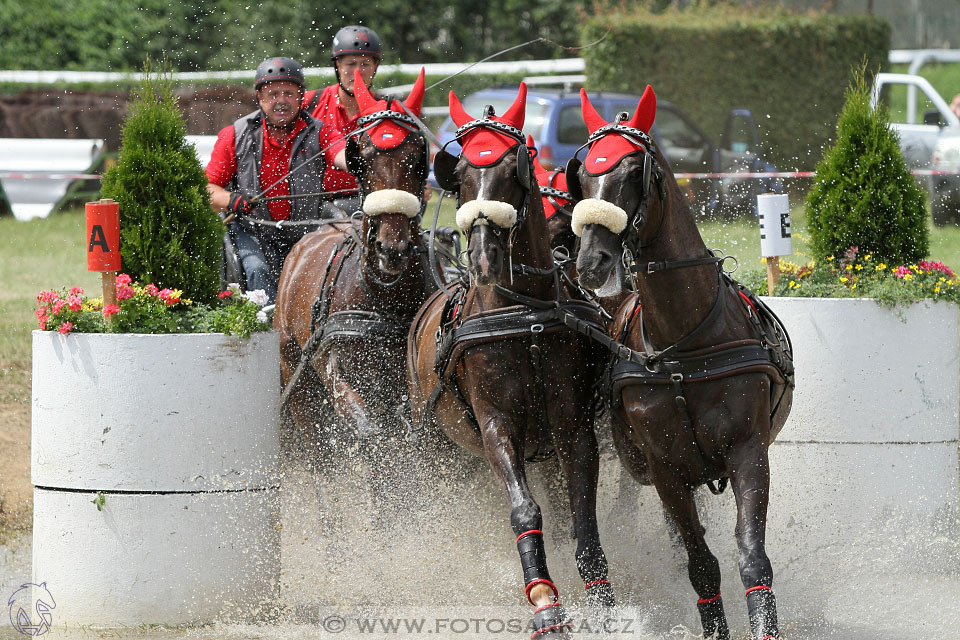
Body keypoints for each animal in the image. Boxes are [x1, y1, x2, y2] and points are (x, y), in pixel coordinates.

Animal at [272, 69, 434, 510]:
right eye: (362, 157)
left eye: (418, 158)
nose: (392, 248)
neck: (382, 298)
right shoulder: (339, 373)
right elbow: (370, 438)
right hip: (298, 383)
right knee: (322, 464)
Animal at [404, 84, 616, 636]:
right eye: (459, 174)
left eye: (511, 169)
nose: (482, 257)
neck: (526, 316)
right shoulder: (497, 424)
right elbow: (524, 510)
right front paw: (545, 603)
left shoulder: (573, 427)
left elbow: (583, 516)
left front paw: (605, 605)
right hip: (438, 444)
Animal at [568, 87, 800, 640]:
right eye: (582, 174)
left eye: (634, 171)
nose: (592, 263)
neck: (682, 349)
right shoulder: (667, 471)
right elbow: (701, 566)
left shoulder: (748, 452)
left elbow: (752, 559)